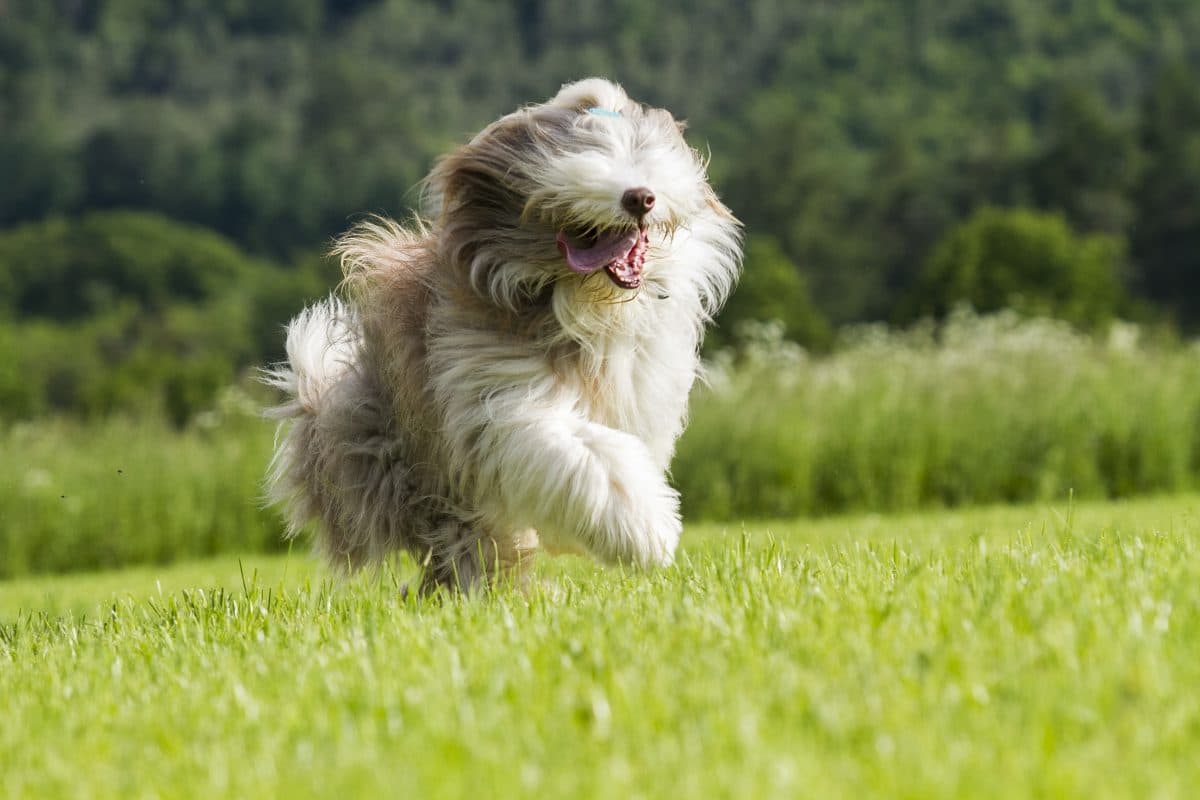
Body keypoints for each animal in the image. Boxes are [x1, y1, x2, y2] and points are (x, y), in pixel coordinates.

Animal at [265, 77, 739, 594]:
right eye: (586, 161)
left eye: (644, 156)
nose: (640, 197)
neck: (584, 310)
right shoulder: (499, 400)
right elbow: (583, 452)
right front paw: (645, 531)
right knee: (467, 540)